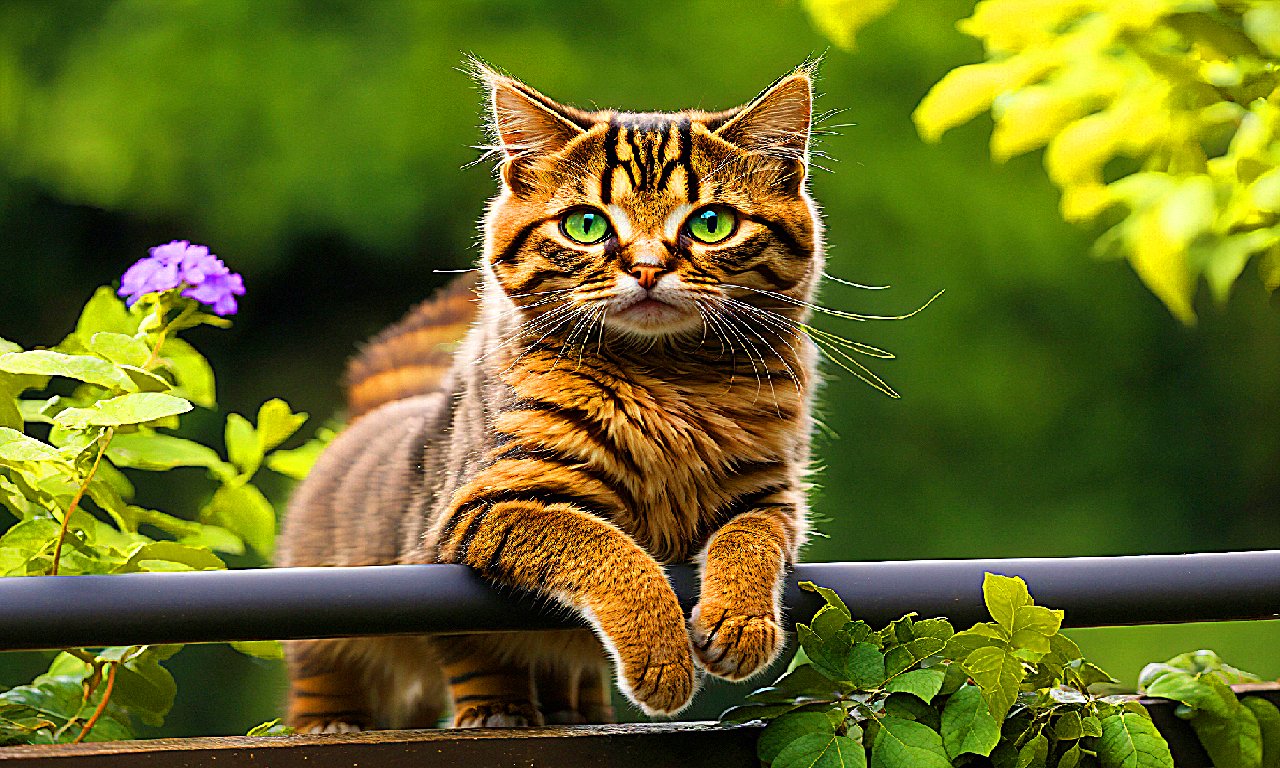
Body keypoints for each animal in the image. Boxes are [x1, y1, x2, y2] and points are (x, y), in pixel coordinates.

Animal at [275, 61, 824, 732]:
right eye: (586, 225)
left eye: (710, 223)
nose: (647, 267)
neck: (666, 381)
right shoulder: (487, 504)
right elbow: (606, 548)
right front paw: (662, 656)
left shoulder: (770, 494)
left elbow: (750, 541)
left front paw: (740, 621)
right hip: (336, 644)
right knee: (353, 682)